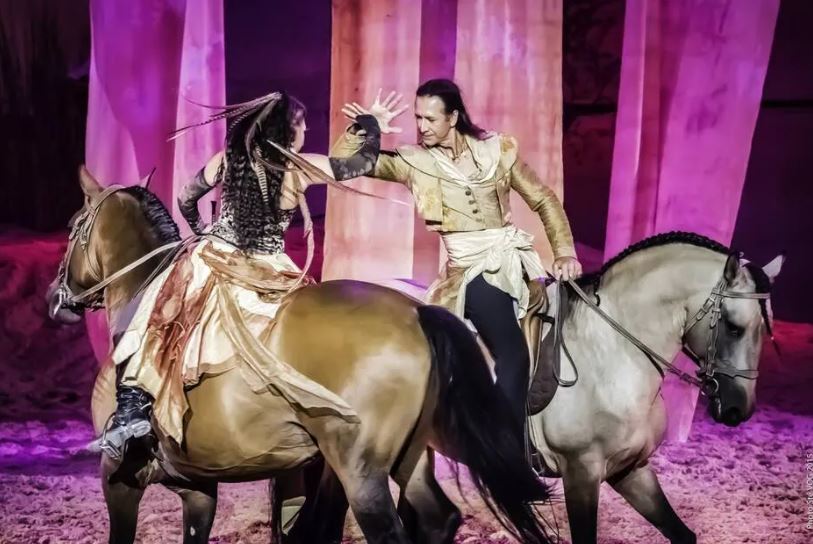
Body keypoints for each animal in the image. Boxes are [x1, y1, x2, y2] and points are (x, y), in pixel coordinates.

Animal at [44, 167, 552, 544]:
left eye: (70, 228)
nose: (56, 298)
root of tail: (416, 313)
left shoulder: (119, 477)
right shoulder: (199, 487)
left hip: (361, 471)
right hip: (407, 457)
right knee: (436, 518)